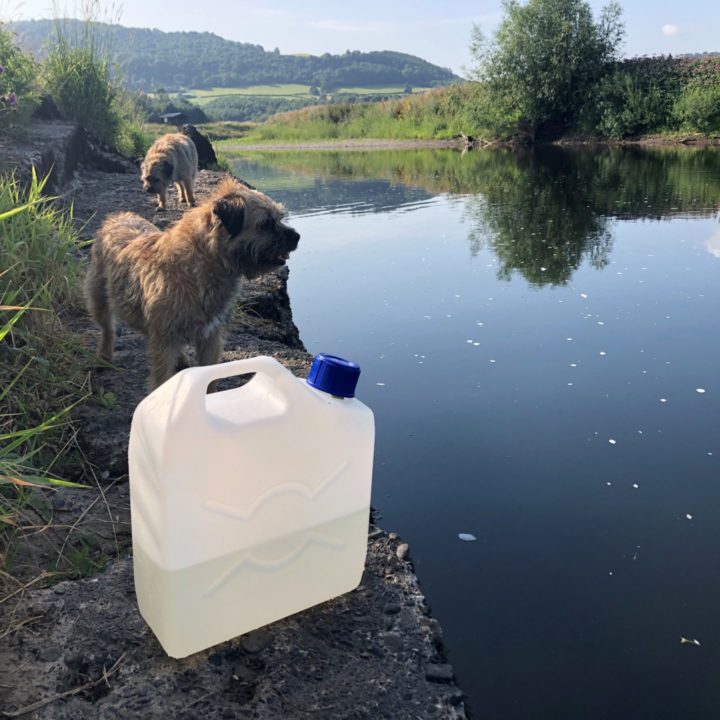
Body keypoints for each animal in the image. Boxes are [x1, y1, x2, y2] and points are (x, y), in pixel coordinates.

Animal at [86, 178, 300, 390]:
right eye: (265, 224)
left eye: (278, 218)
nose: (297, 236)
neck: (202, 264)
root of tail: (116, 217)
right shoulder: (164, 341)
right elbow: (161, 377)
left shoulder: (210, 336)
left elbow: (210, 377)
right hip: (99, 298)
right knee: (107, 329)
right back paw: (104, 357)